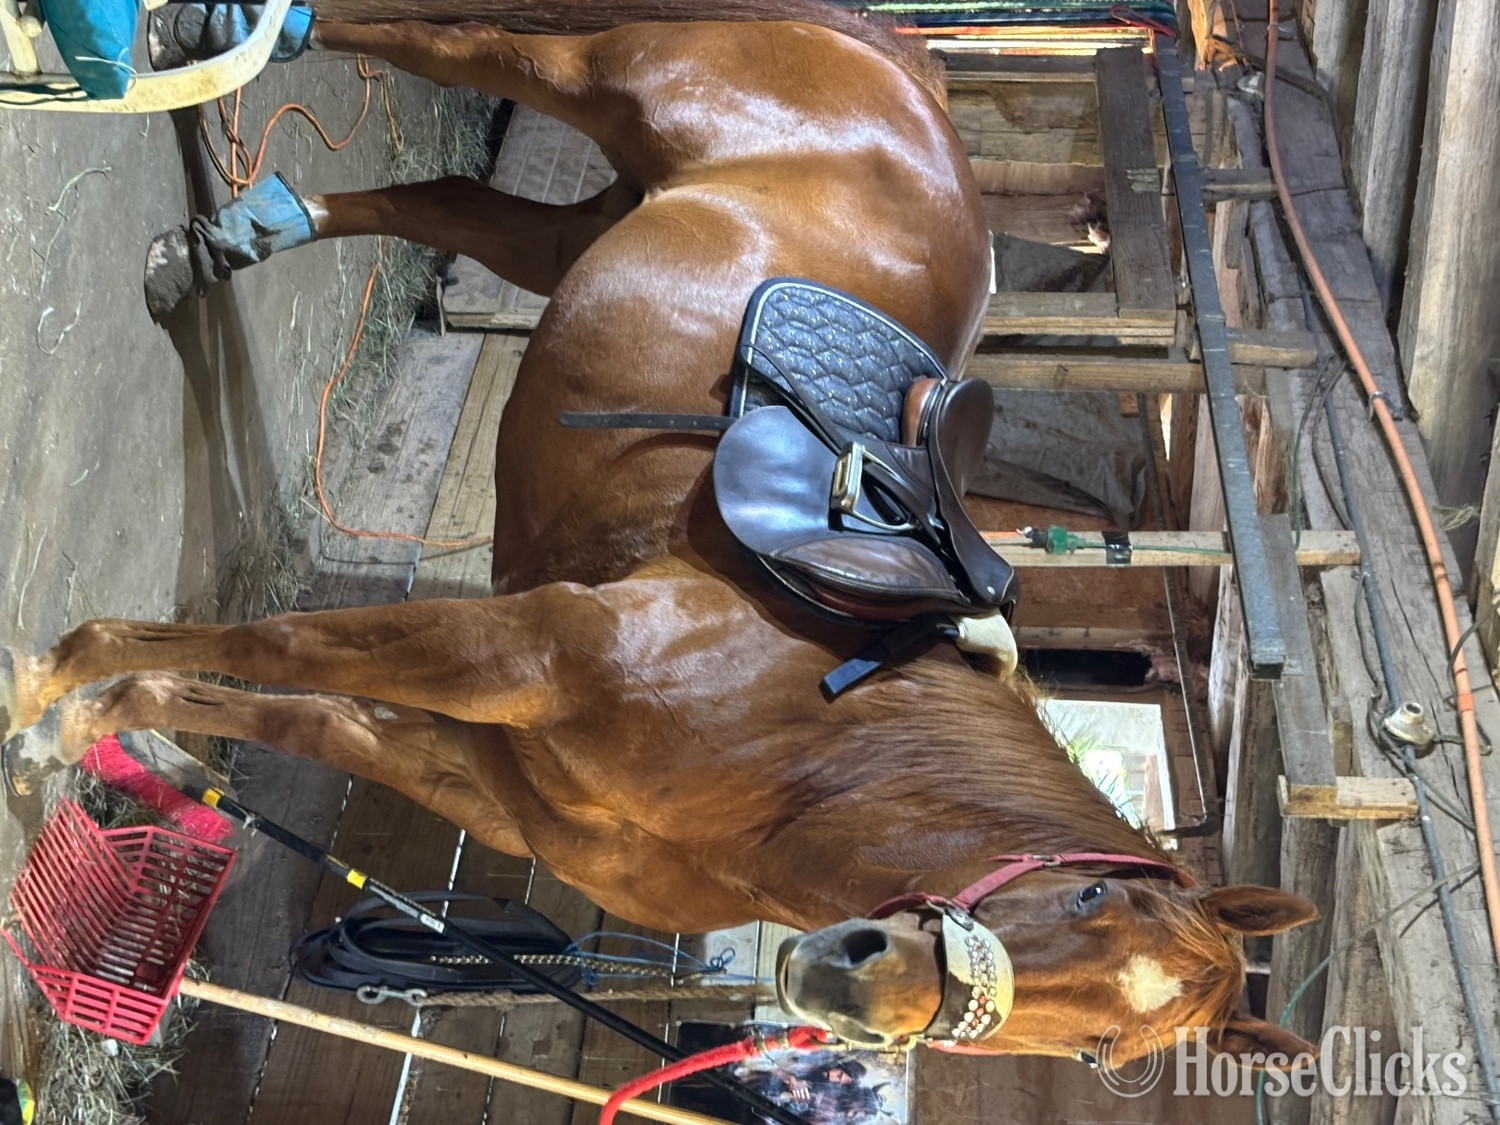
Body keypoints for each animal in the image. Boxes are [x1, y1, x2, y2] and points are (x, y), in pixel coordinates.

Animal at [1, 0, 1319, 1065]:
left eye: (1103, 1048)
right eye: (1094, 903)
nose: (862, 986)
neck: (803, 744)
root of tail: (919, 77)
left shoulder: (475, 766)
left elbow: (278, 708)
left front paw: (98, 735)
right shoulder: (514, 648)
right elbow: (267, 647)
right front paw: (45, 686)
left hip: (591, 226)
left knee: (451, 206)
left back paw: (234, 238)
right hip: (612, 76)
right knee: (450, 42)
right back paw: (217, 35)